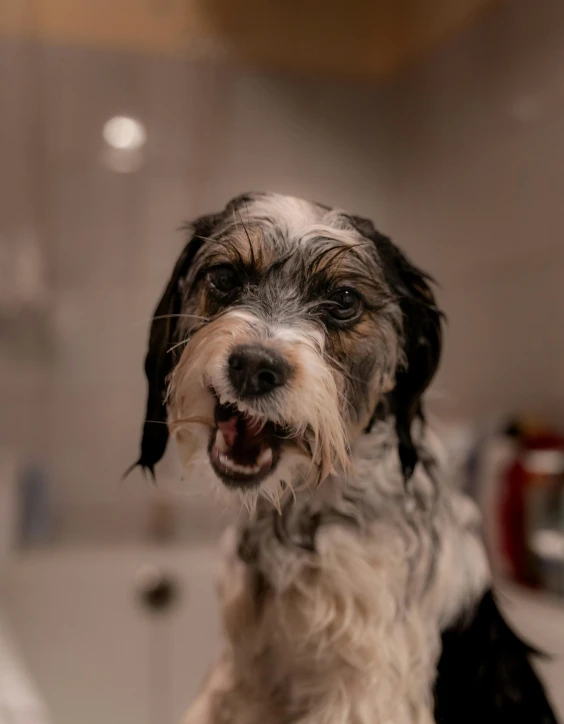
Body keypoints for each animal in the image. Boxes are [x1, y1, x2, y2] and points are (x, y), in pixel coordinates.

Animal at [131, 192, 556, 724]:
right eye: (225, 277)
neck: (300, 523)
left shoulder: (368, 693)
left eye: (344, 301)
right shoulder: (241, 679)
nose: (254, 366)